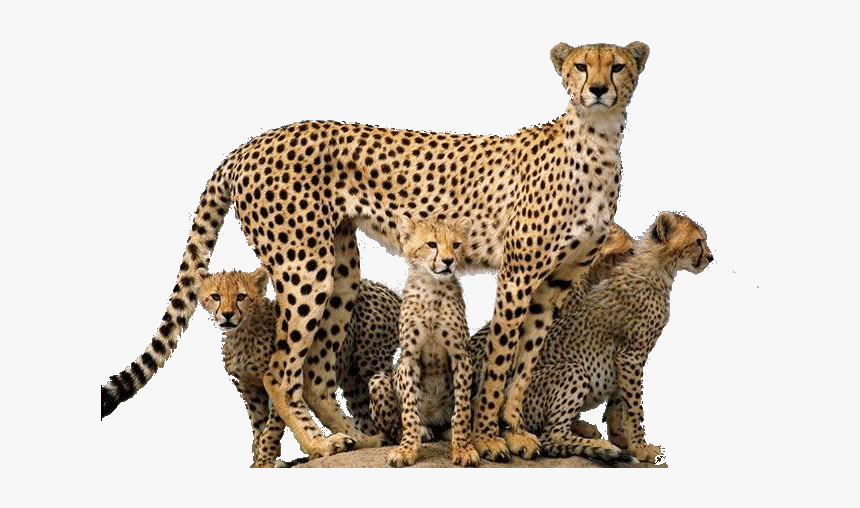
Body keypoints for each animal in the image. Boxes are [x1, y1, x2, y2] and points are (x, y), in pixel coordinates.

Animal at [198, 267, 401, 465]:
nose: (227, 314)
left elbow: (271, 428)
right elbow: (258, 427)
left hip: (371, 362)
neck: (241, 331)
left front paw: (265, 459)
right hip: (353, 381)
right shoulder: (249, 391)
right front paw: (261, 459)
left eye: (241, 296)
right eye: (216, 296)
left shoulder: (278, 378)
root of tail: (386, 289)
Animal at [368, 216, 479, 467]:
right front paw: (407, 449)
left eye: (456, 245)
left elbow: (462, 409)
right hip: (378, 380)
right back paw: (421, 431)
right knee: (394, 428)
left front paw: (463, 447)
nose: (448, 261)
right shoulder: (409, 358)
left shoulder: (461, 356)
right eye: (431, 244)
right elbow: (409, 410)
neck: (431, 287)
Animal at [520, 212, 713, 463]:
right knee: (550, 435)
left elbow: (619, 401)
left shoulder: (623, 358)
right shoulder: (631, 354)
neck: (659, 267)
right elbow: (635, 405)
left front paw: (623, 439)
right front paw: (640, 447)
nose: (710, 257)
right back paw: (600, 446)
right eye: (698, 242)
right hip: (572, 370)